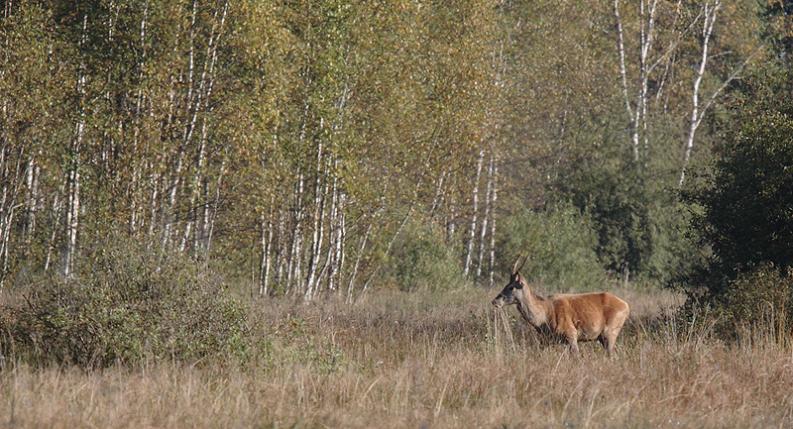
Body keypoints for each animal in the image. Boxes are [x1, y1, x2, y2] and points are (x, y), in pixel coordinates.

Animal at [488, 256, 632, 352]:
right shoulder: (547, 339)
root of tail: (626, 306)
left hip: (610, 331)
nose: (495, 301)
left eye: (511, 287)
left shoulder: (571, 334)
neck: (544, 317)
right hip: (603, 336)